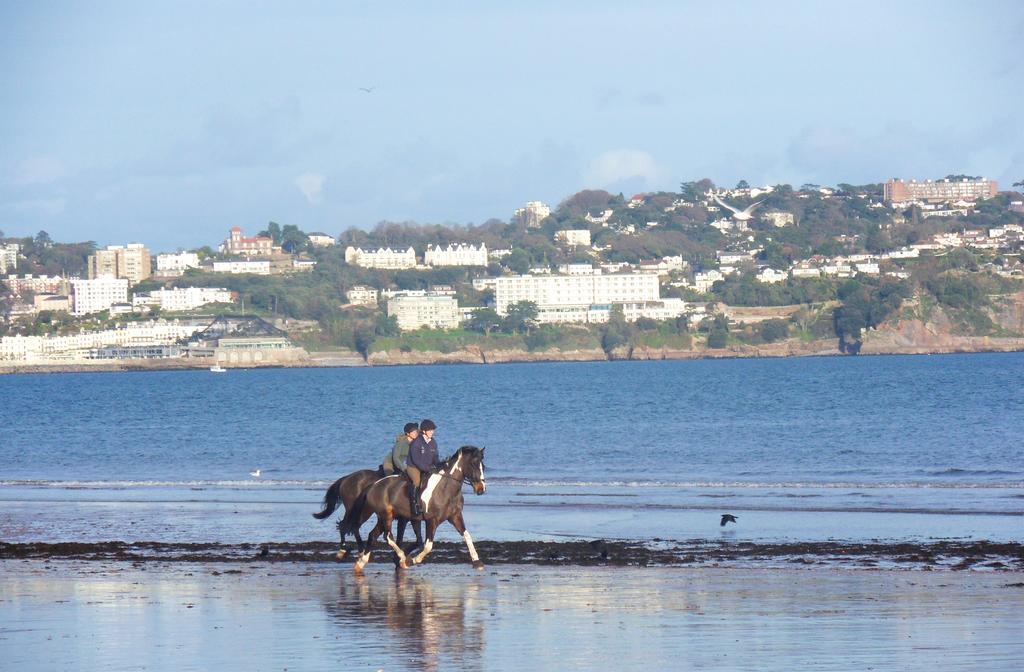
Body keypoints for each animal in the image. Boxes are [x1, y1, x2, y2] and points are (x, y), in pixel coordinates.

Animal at [342, 446, 485, 573]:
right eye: (473, 464)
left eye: (483, 466)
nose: (481, 489)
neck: (446, 489)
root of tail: (373, 485)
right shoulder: (431, 521)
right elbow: (428, 546)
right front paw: (413, 560)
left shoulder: (455, 517)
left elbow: (467, 536)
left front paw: (477, 561)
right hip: (386, 516)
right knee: (387, 536)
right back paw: (402, 558)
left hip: (383, 518)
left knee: (373, 535)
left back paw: (361, 562)